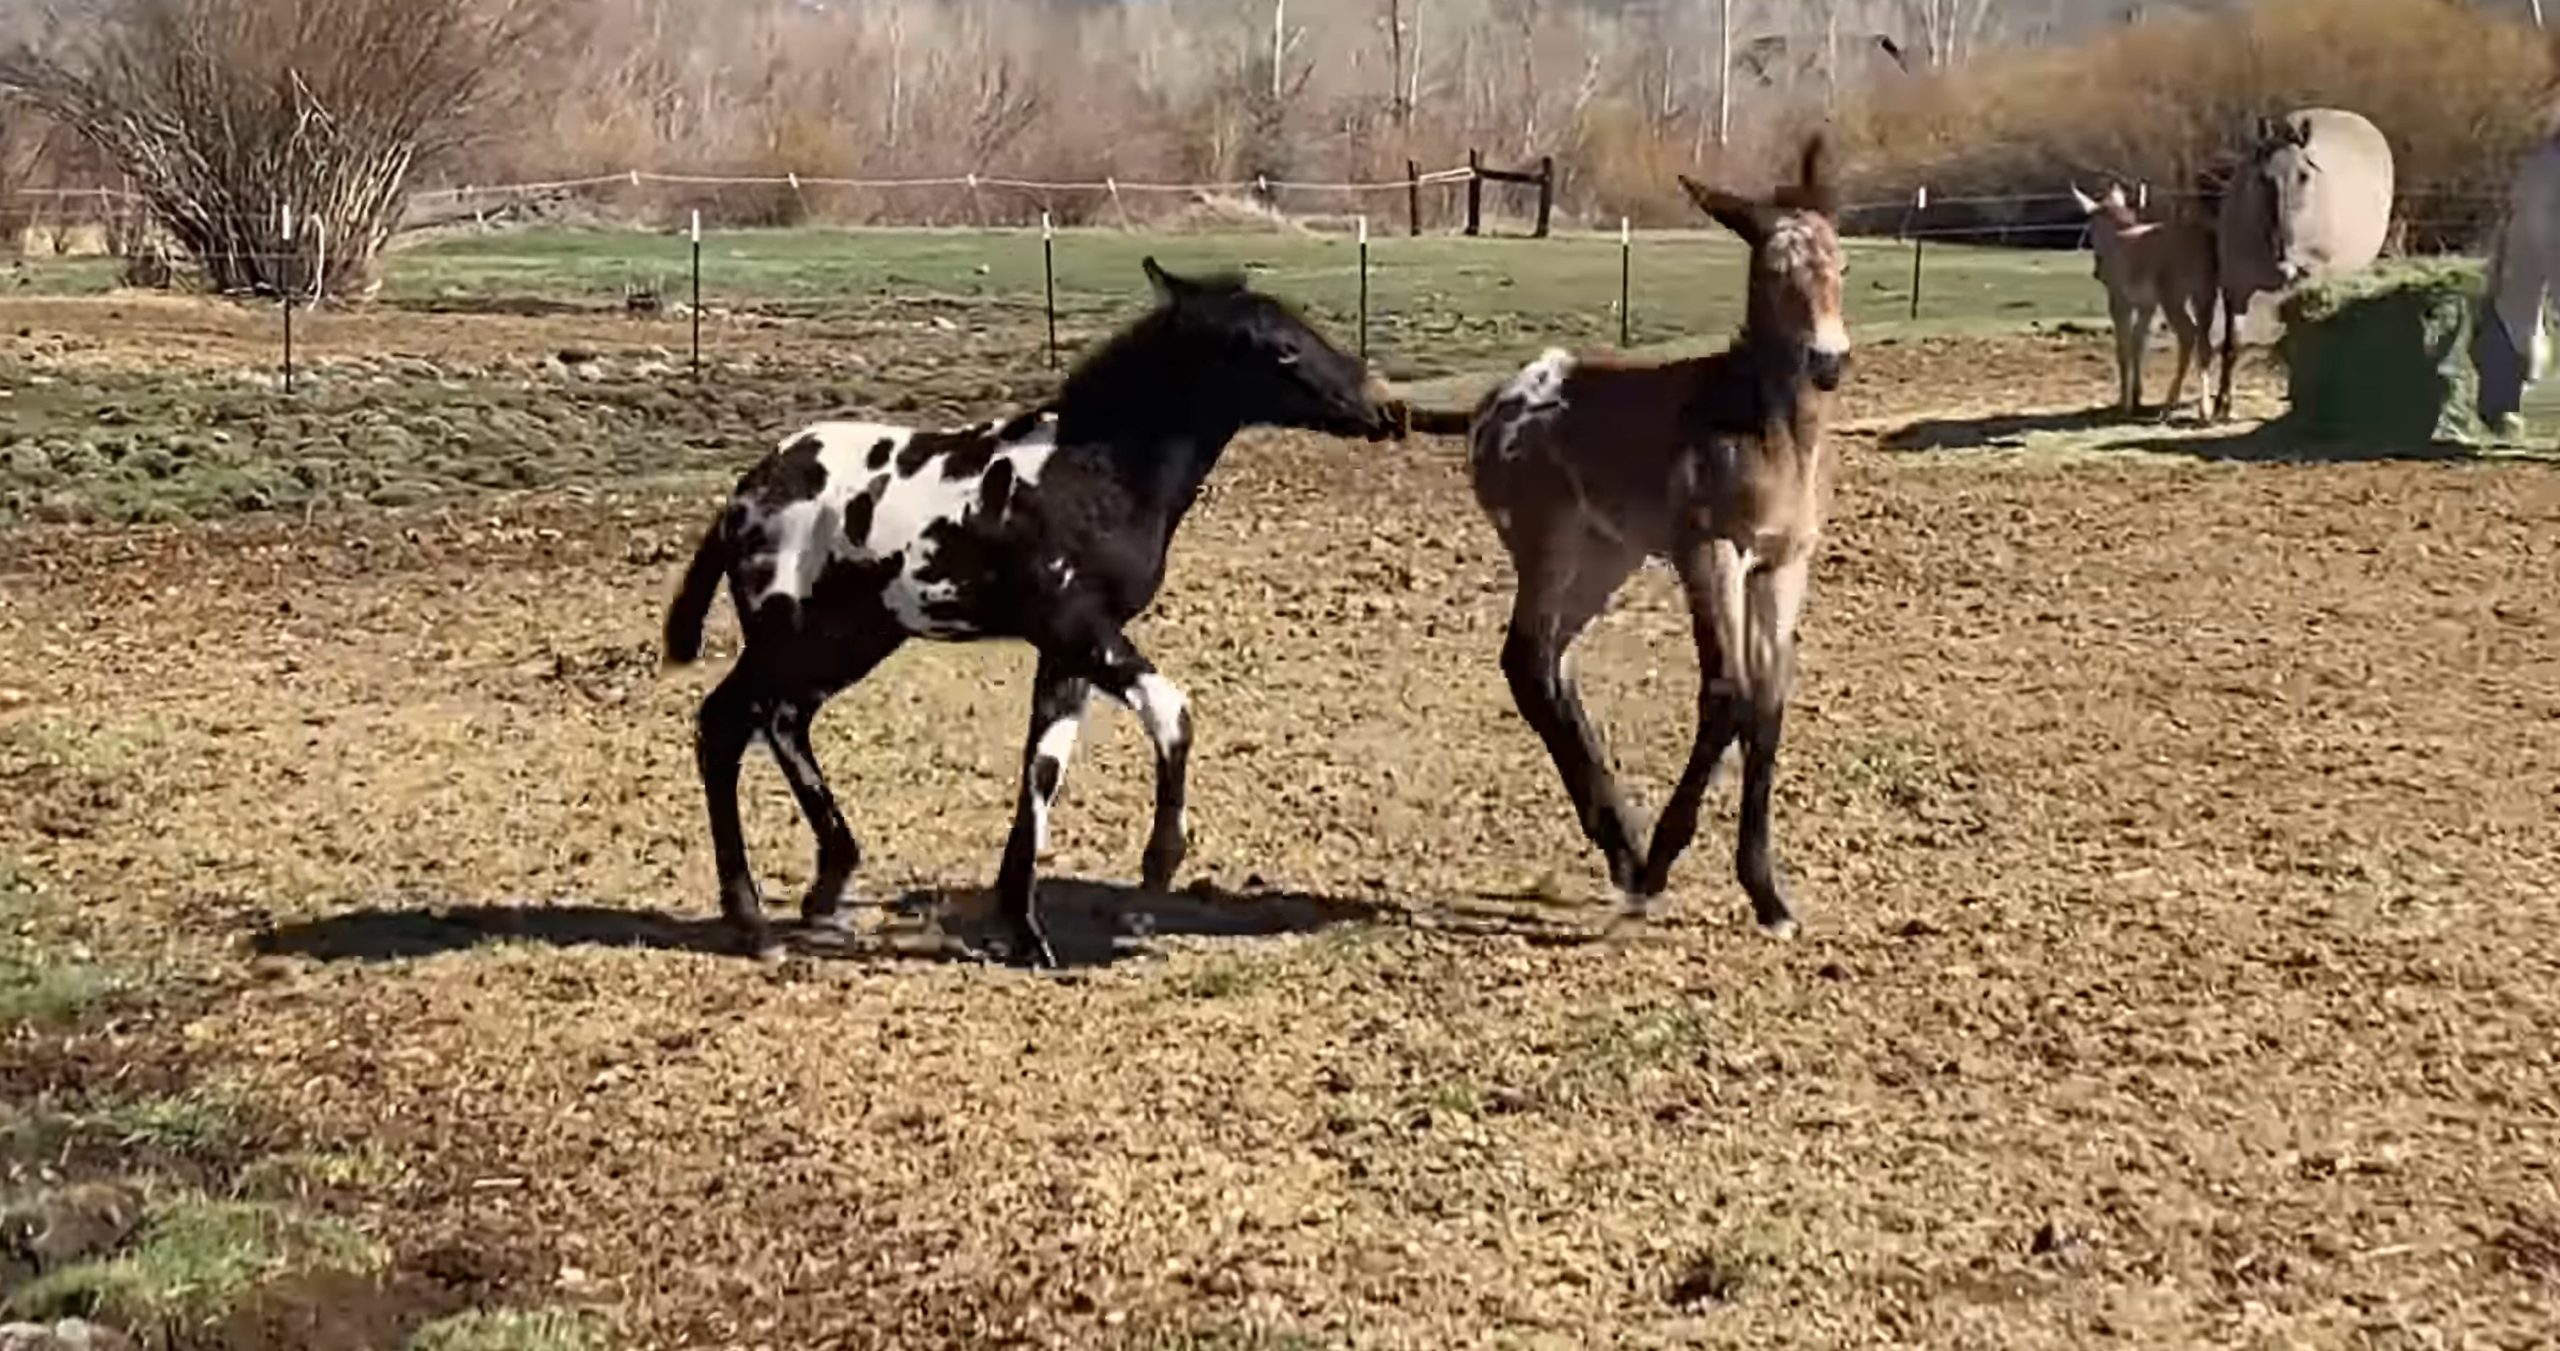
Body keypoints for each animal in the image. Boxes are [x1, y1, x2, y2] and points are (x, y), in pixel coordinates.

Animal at [660, 258, 1402, 967]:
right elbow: (1173, 710)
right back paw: (754, 921)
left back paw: (828, 882)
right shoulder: (1080, 627)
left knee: (783, 720)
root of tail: (742, 496)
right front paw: (1157, 866)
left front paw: (1023, 928)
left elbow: (1043, 765)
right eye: (1281, 348)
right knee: (725, 724)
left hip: (849, 639)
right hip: (787, 632)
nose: (1387, 409)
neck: (1095, 472)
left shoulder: (1066, 651)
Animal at [1423, 140, 1843, 941]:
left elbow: (1768, 701)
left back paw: (1620, 843)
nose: (1828, 361)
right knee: (1527, 659)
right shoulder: (1709, 552)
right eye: (1773, 272)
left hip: (1603, 558)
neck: (1762, 428)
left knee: (1553, 665)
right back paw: (1629, 851)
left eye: (1839, 261)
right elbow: (1726, 692)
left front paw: (1770, 898)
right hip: (1551, 545)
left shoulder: (1782, 566)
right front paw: (1662, 869)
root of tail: (1495, 405)